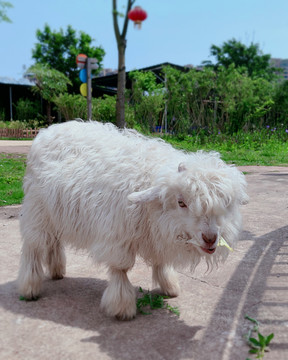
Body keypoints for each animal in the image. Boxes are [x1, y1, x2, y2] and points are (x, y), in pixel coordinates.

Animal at [18, 121, 248, 320]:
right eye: (181, 202)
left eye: (226, 204)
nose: (210, 238)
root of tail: (48, 130)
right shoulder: (117, 234)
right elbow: (120, 268)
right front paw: (121, 307)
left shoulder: (157, 234)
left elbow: (160, 260)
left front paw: (169, 285)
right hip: (37, 209)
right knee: (33, 245)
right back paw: (30, 287)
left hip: (55, 210)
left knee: (54, 240)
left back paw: (56, 270)